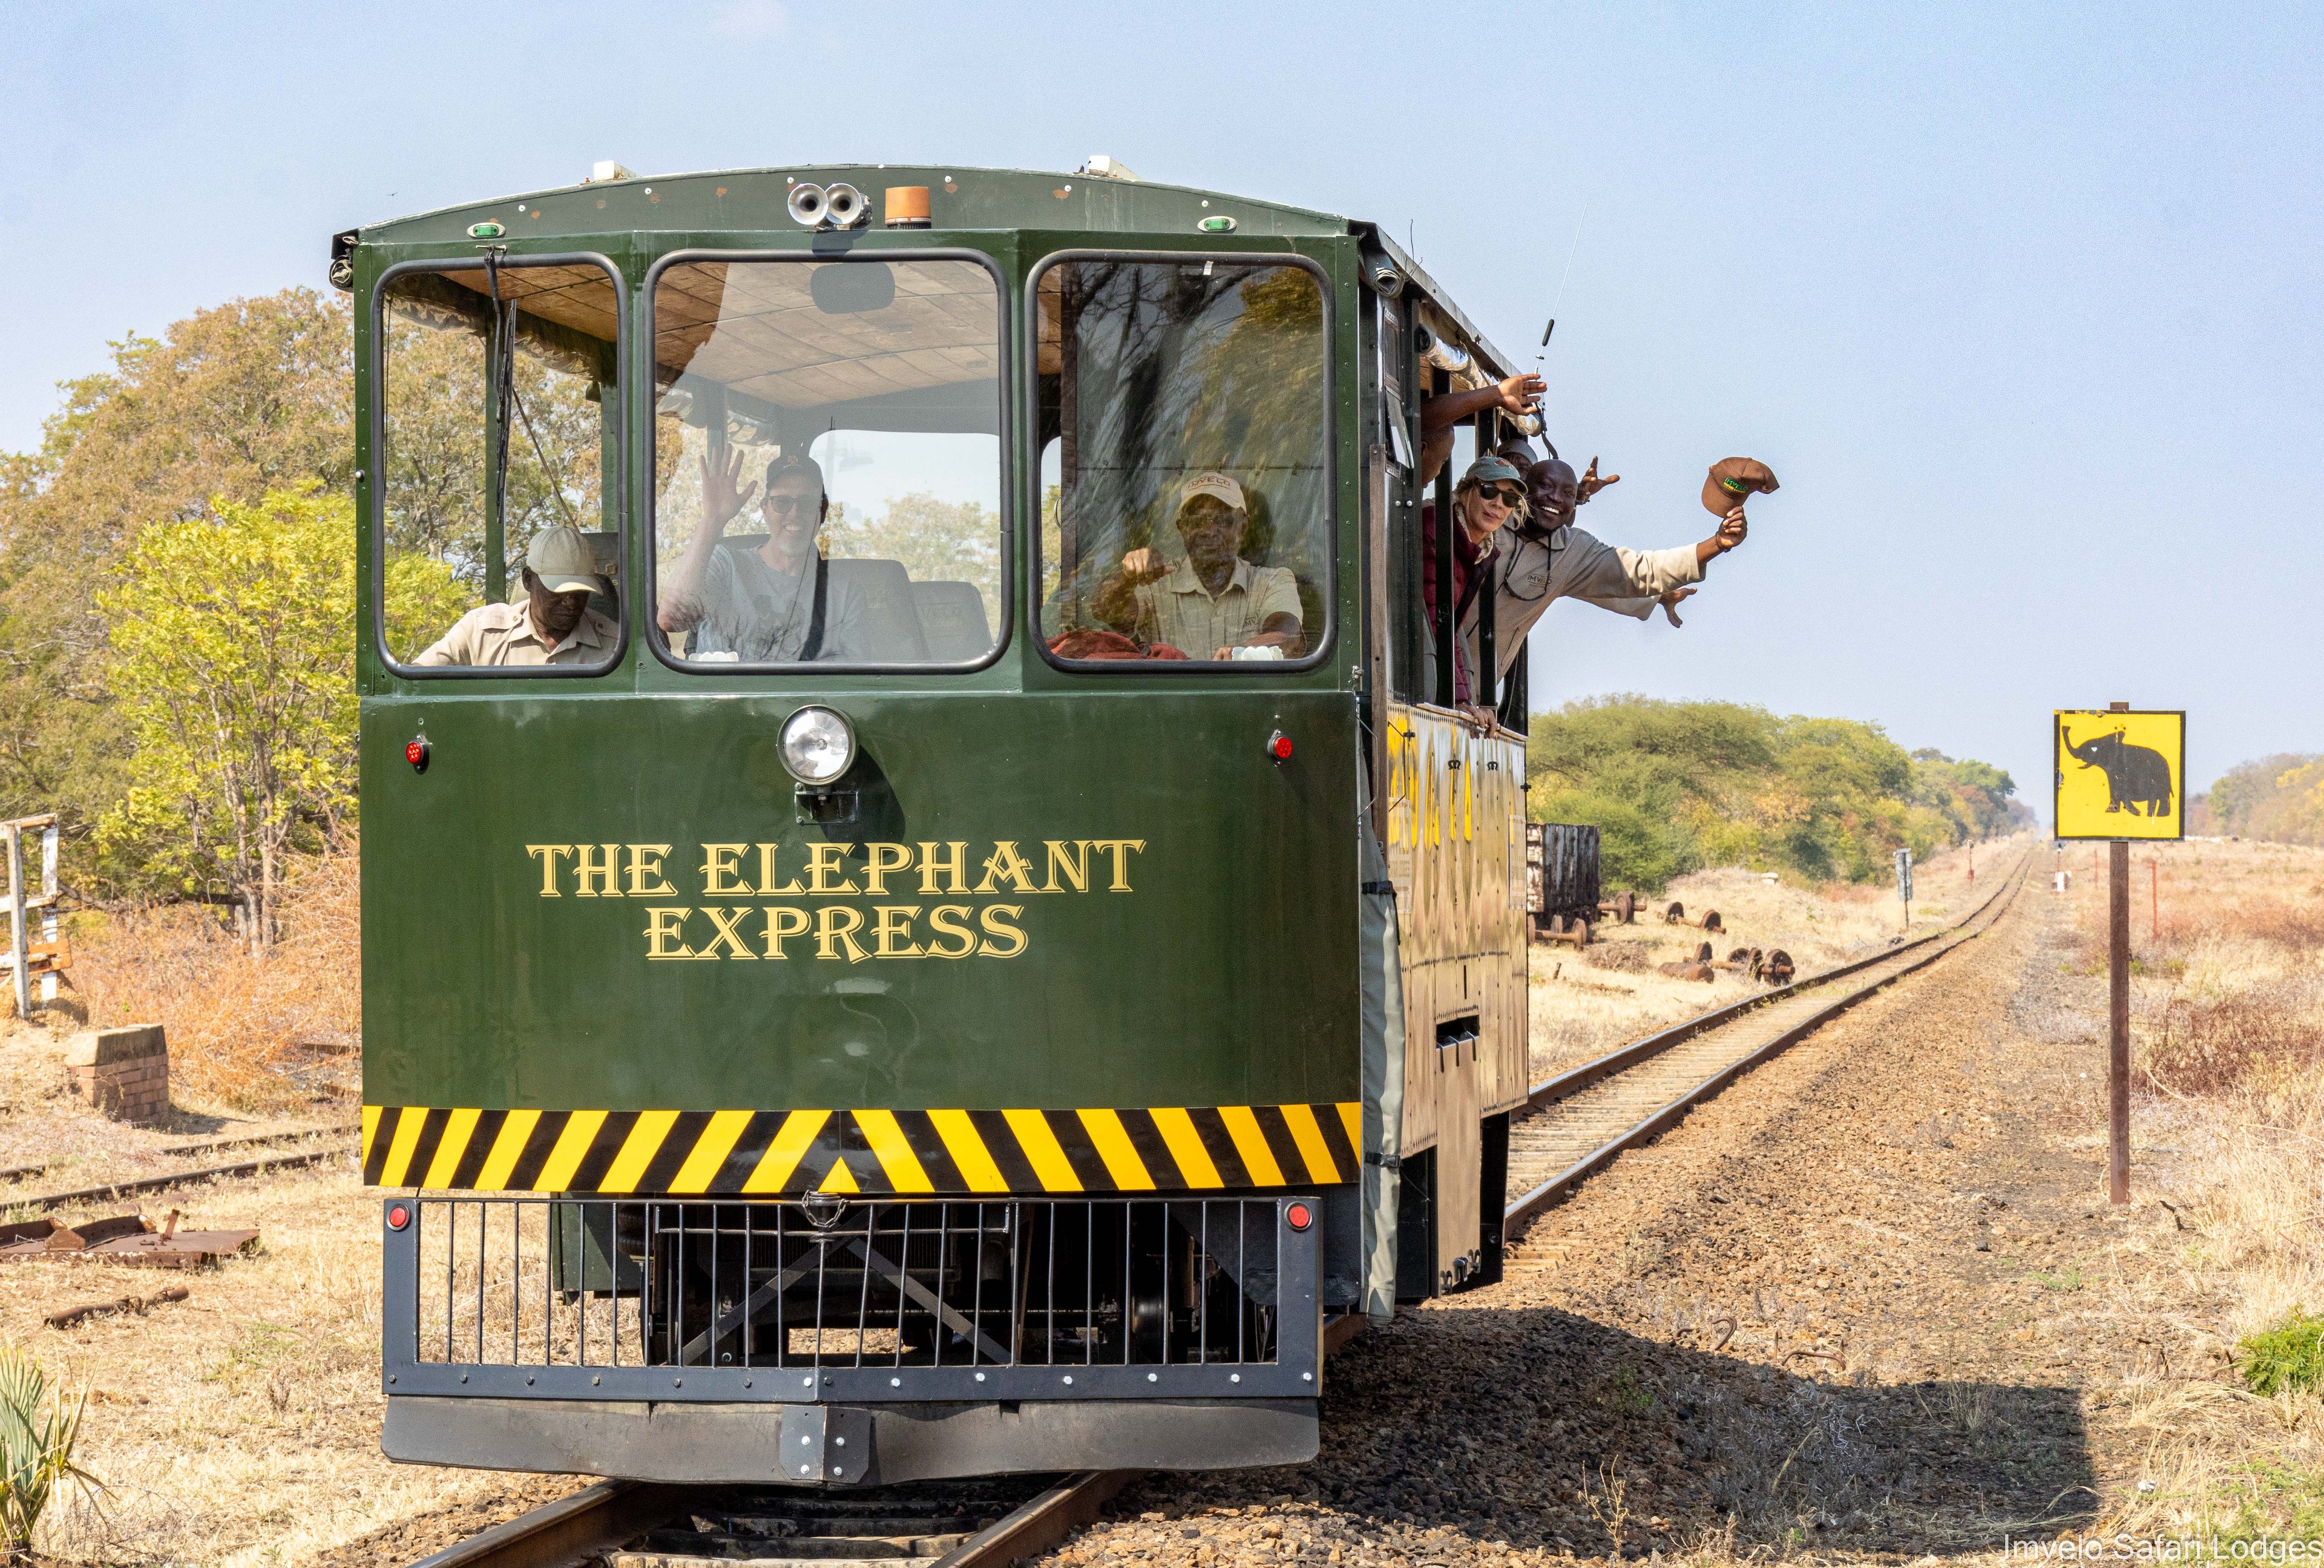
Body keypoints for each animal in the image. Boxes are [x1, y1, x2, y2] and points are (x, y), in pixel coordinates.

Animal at [2062, 725, 2173, 817]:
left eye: (2094, 749)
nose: (2066, 728)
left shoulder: (2123, 769)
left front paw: (2136, 813)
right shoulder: (2112, 772)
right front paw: (2112, 812)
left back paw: (2156, 816)